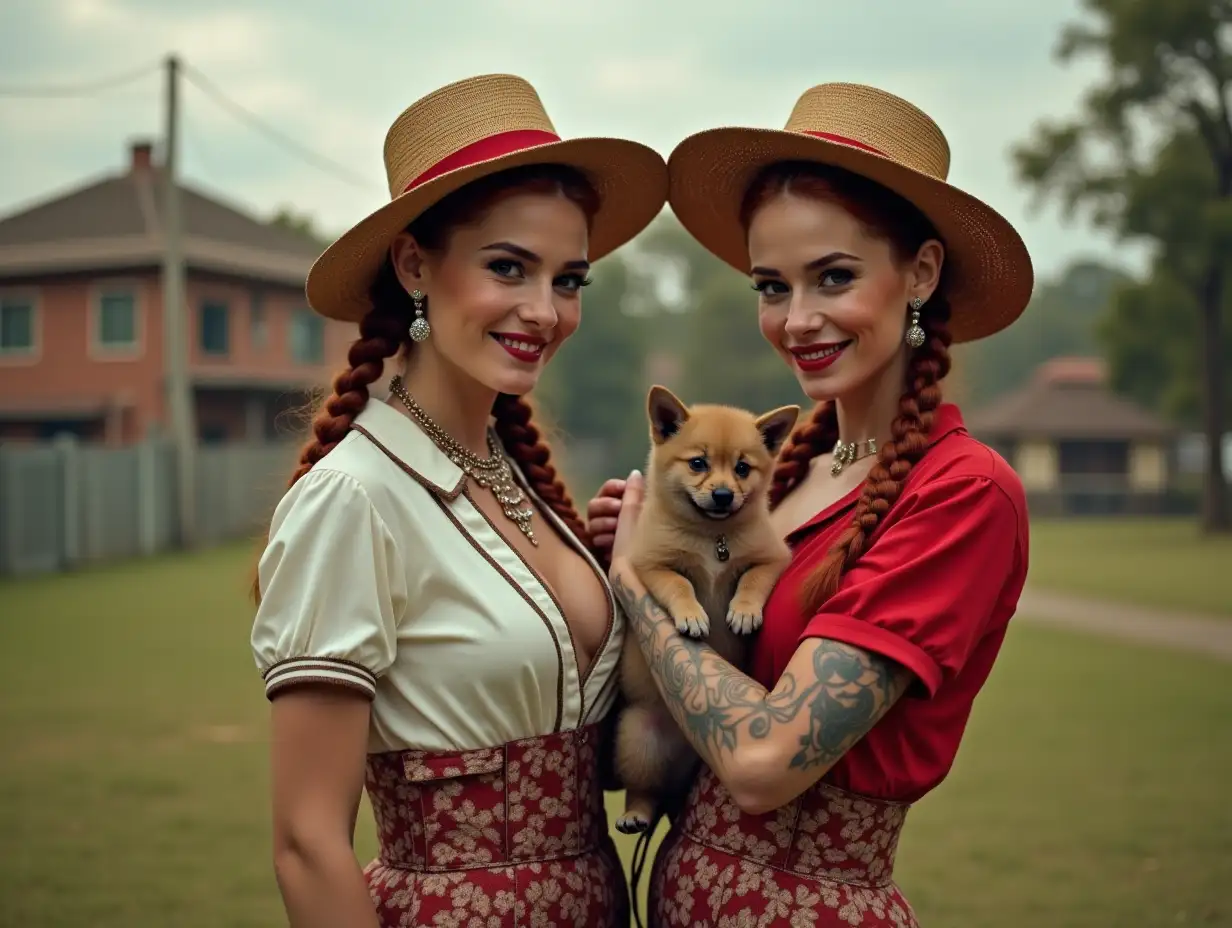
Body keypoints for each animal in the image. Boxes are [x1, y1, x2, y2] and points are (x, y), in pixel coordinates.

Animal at [613, 384, 798, 833]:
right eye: (698, 463)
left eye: (743, 468)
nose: (723, 494)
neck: (713, 539)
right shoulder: (652, 566)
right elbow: (680, 584)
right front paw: (692, 616)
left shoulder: (772, 559)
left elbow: (750, 580)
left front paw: (744, 612)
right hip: (638, 739)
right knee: (644, 790)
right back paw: (635, 814)